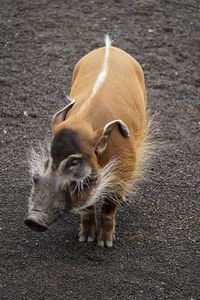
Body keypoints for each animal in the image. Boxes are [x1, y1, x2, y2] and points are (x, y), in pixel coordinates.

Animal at [25, 35, 153, 247]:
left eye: (74, 162)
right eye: (49, 160)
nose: (33, 220)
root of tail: (109, 47)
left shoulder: (122, 172)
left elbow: (109, 207)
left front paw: (104, 244)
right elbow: (86, 207)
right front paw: (85, 239)